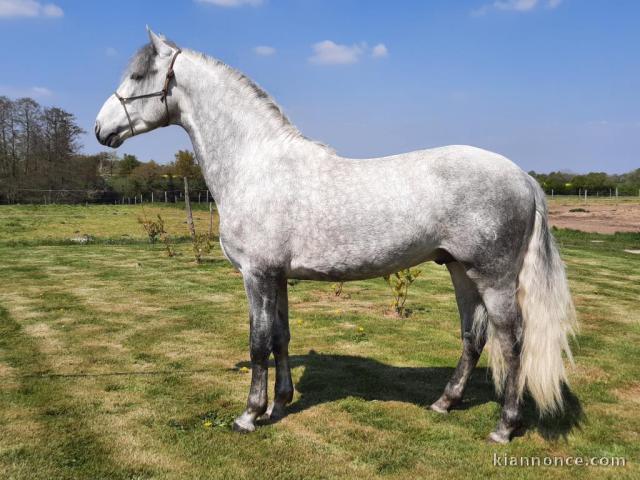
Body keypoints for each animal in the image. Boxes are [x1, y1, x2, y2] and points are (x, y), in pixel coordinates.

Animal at [95, 28, 577, 443]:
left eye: (137, 76)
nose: (101, 129)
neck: (256, 164)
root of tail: (523, 177)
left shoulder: (256, 274)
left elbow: (257, 343)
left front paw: (250, 414)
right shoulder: (278, 276)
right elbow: (280, 337)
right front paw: (280, 405)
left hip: (494, 278)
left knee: (512, 342)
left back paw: (504, 426)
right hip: (460, 270)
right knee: (473, 336)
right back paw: (444, 402)